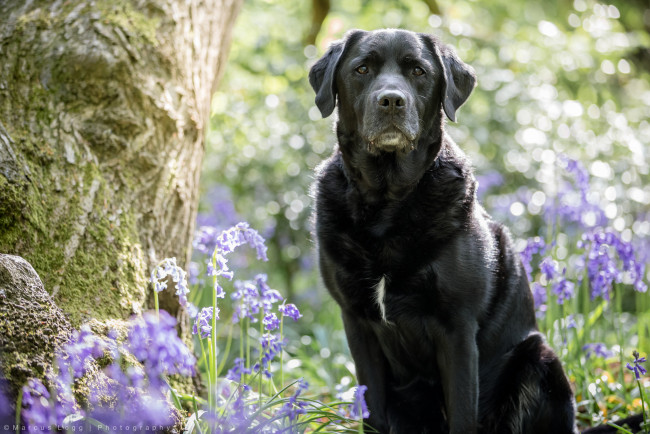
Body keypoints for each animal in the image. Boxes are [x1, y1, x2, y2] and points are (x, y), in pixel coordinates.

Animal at [308, 29, 576, 434]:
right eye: (362, 69)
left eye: (418, 71)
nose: (391, 100)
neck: (388, 202)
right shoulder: (357, 323)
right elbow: (372, 411)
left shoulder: (457, 329)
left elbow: (463, 414)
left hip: (538, 359)